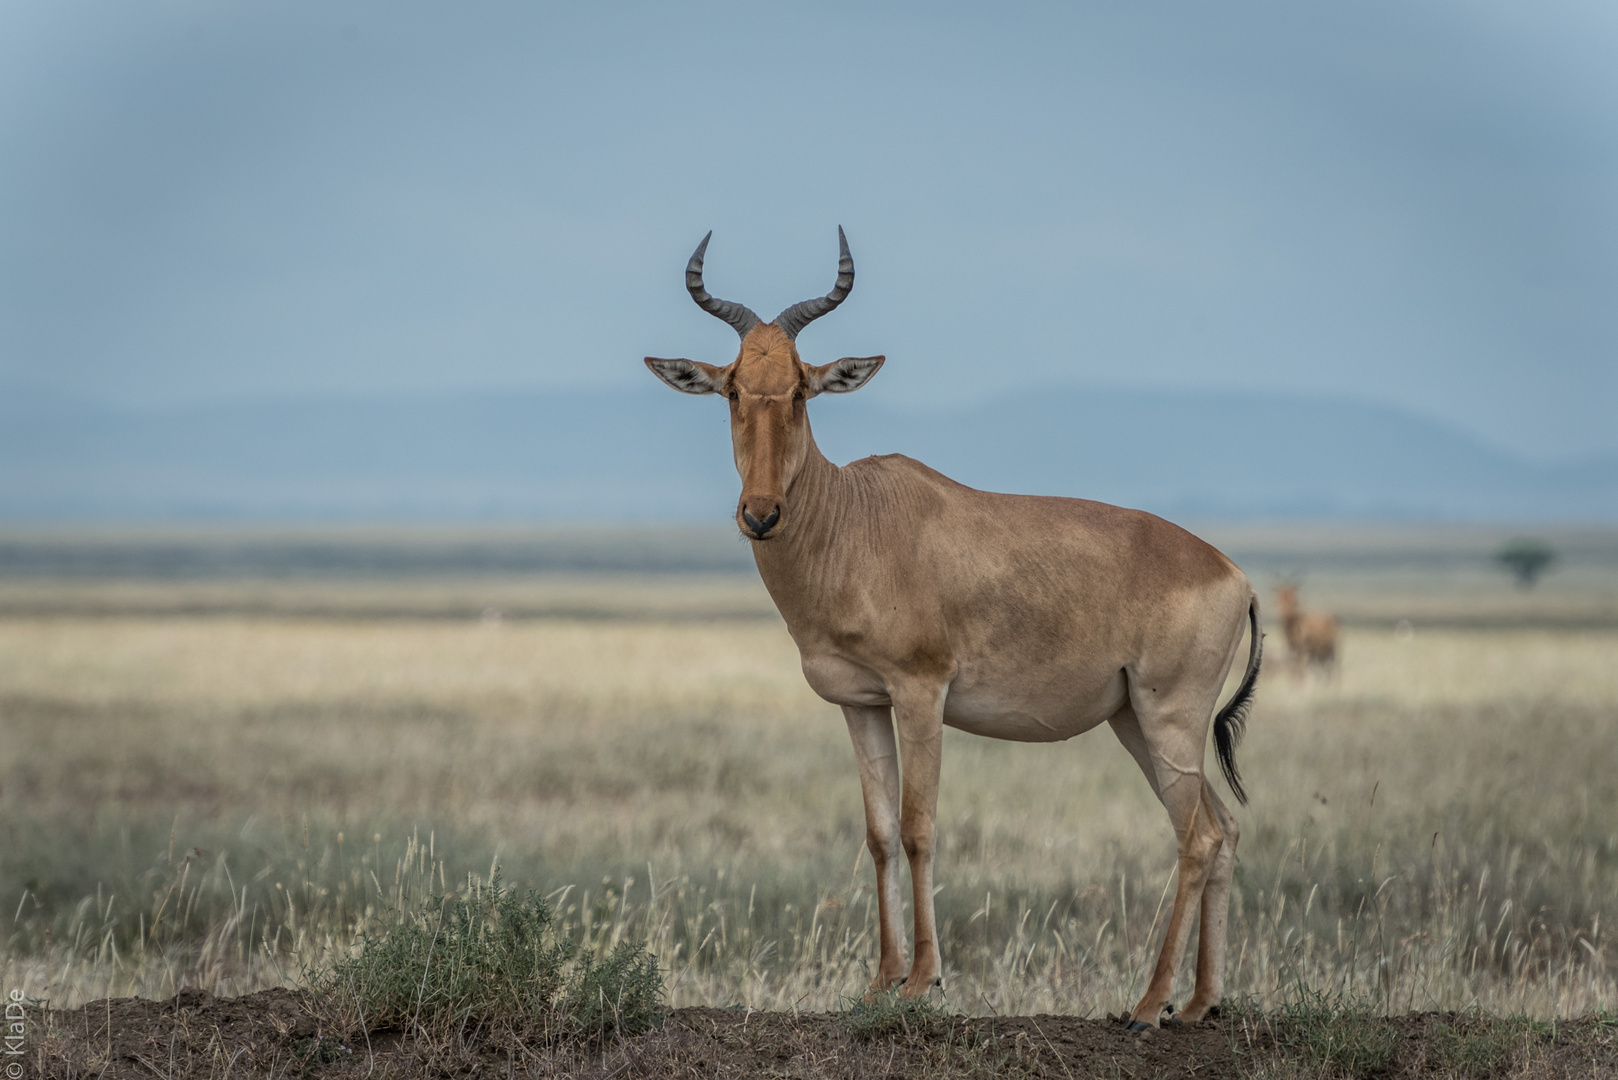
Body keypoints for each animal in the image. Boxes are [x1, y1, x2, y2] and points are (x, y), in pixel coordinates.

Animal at [643, 229, 1262, 1029]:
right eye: (733, 388)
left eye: (803, 388)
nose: (761, 513)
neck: (857, 519)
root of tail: (1232, 573)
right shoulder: (862, 703)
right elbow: (878, 833)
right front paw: (879, 980)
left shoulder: (922, 692)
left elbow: (919, 827)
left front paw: (923, 982)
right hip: (1134, 719)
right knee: (1225, 829)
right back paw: (1199, 1004)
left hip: (1170, 717)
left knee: (1198, 836)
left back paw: (1148, 1003)